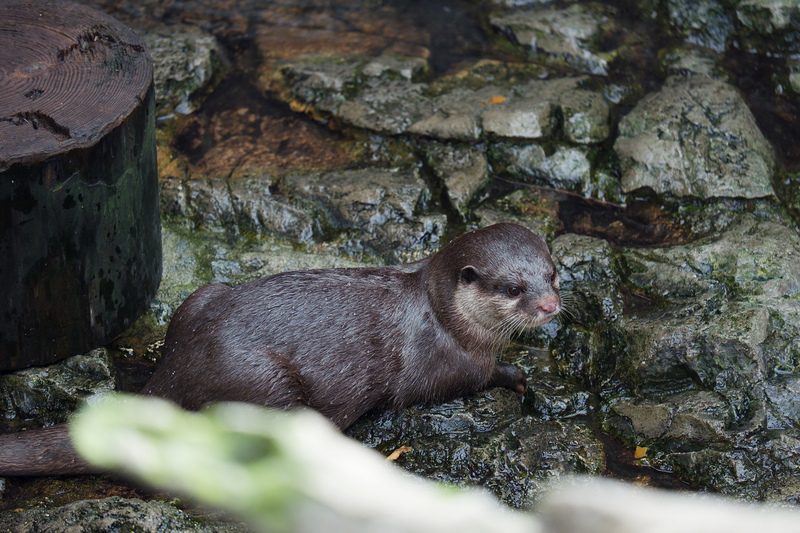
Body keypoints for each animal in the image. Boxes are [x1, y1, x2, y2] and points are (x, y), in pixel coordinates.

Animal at [0, 223, 564, 474]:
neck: (445, 315)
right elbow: (475, 377)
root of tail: (176, 372)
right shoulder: (445, 363)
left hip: (199, 299)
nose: (550, 305)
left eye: (553, 273)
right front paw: (517, 376)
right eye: (513, 287)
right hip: (264, 383)